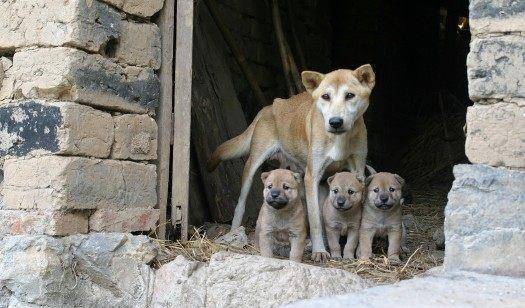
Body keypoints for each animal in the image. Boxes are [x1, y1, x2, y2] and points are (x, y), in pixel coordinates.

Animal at [207, 66, 374, 262]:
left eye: (350, 95)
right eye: (326, 96)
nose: (335, 122)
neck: (339, 140)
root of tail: (269, 106)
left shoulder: (357, 171)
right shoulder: (312, 176)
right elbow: (315, 221)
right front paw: (319, 251)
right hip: (253, 166)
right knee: (240, 203)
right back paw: (234, 232)